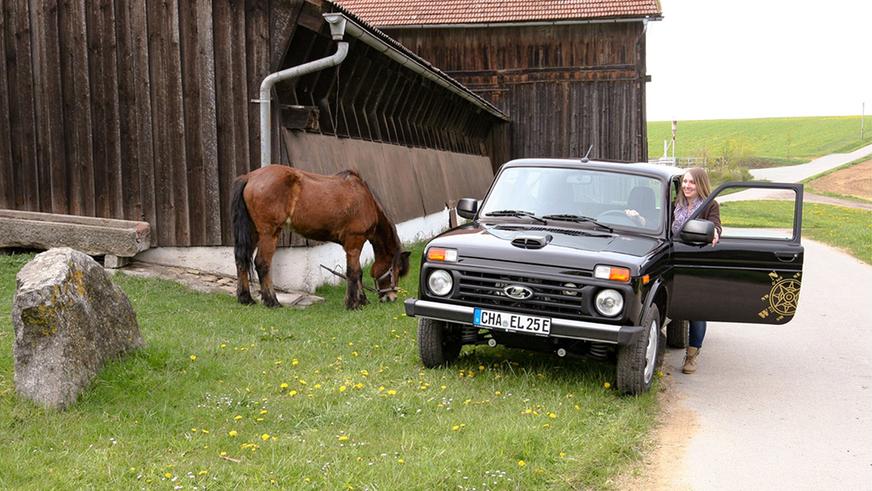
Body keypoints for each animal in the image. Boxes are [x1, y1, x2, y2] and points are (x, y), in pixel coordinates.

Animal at [230, 166, 410, 312]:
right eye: (396, 270)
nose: (391, 297)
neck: (365, 200)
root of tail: (249, 177)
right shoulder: (354, 242)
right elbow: (354, 272)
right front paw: (353, 303)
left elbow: (357, 273)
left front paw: (362, 300)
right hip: (269, 233)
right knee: (262, 263)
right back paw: (272, 301)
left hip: (254, 232)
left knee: (241, 260)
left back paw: (246, 298)